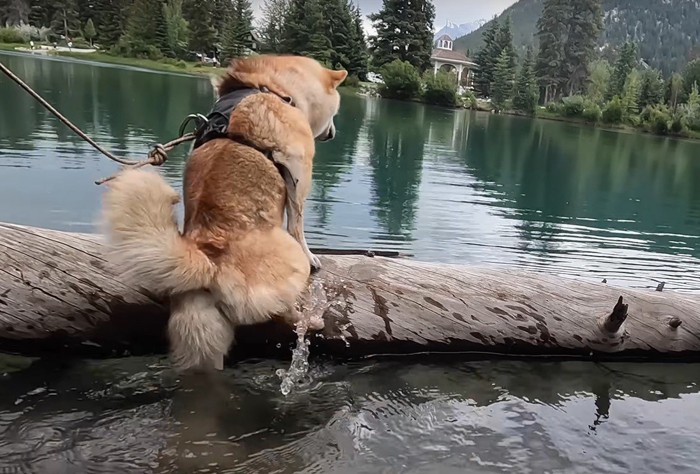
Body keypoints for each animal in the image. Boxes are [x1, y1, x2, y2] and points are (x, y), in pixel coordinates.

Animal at [100, 55, 348, 372]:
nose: (333, 133)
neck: (272, 86)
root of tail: (208, 262)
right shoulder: (300, 175)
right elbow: (298, 224)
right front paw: (313, 255)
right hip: (289, 262)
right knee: (287, 312)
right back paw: (312, 319)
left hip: (200, 334)